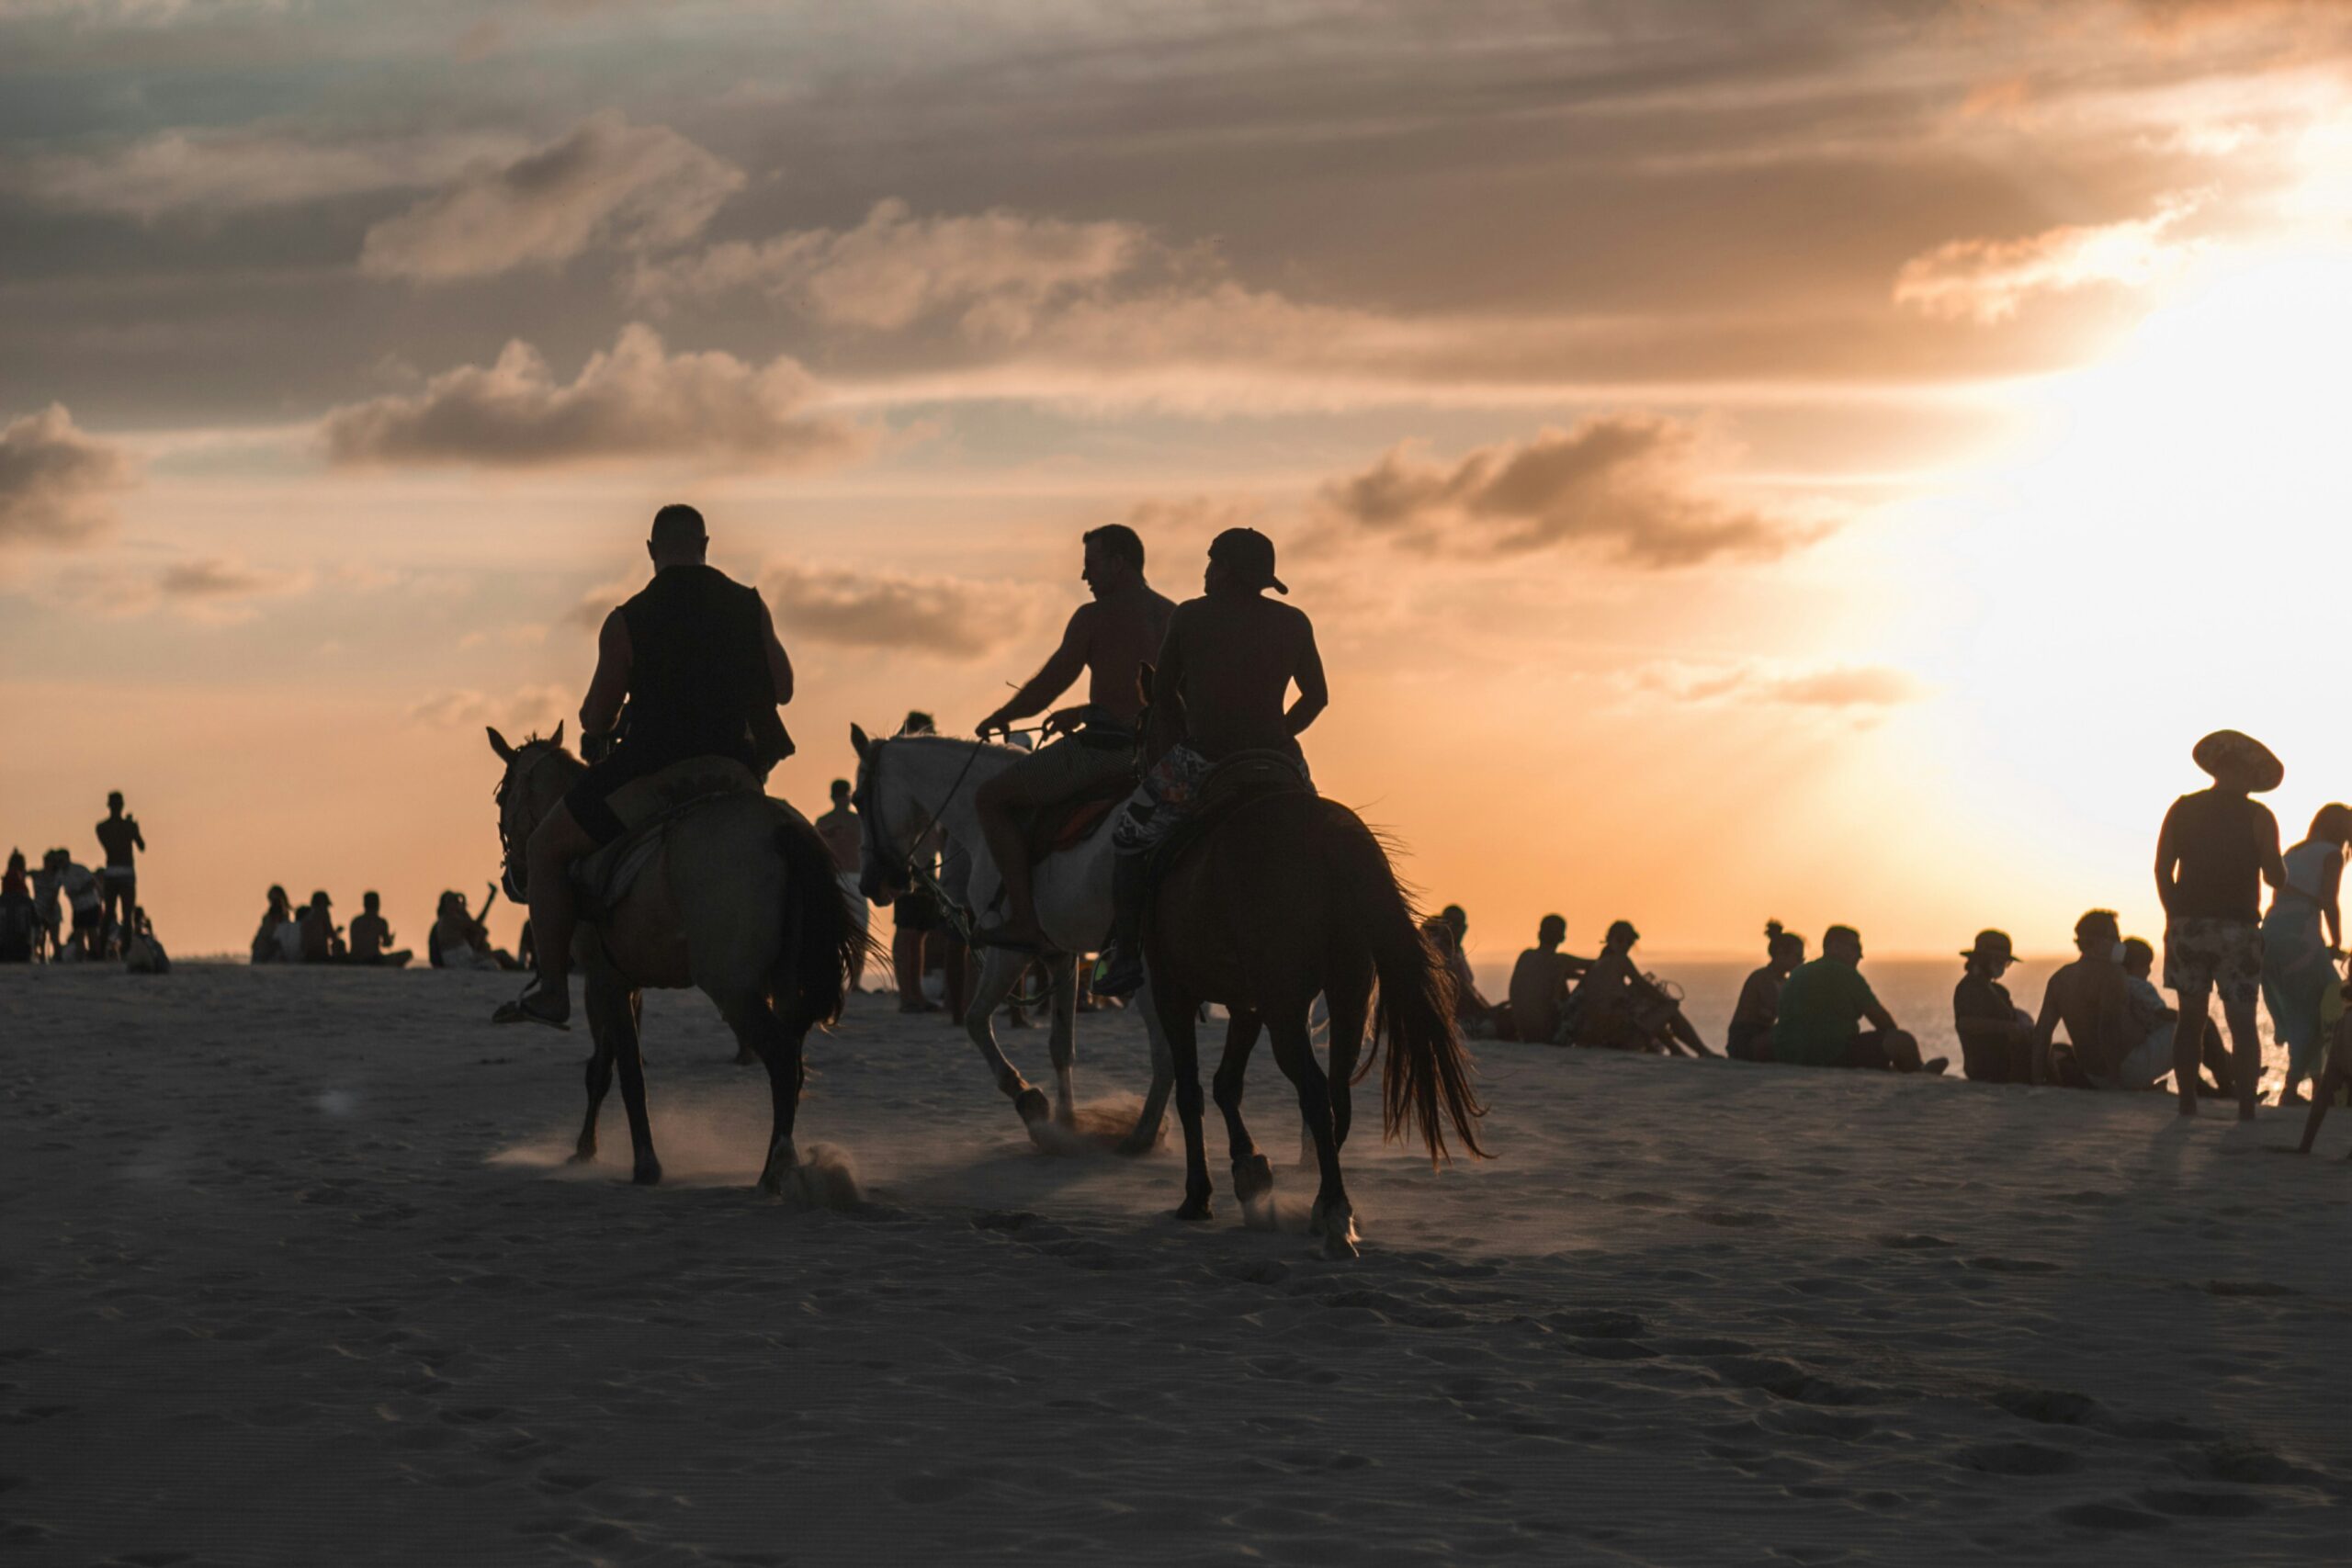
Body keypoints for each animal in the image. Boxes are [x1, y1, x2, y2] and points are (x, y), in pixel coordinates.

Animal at [486, 728, 865, 1194]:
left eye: (502, 796)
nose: (511, 878)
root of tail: (780, 831)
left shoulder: (603, 979)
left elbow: (626, 1073)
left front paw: (643, 1164)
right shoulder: (622, 982)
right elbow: (604, 1068)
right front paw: (585, 1149)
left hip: (731, 989)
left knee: (780, 1057)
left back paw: (774, 1169)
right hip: (786, 984)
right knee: (793, 1061)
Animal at [851, 728, 1170, 1152]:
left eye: (857, 800)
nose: (872, 884)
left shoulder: (1009, 951)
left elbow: (974, 1020)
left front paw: (1029, 1101)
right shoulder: (1058, 955)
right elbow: (1060, 1047)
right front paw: (1066, 1126)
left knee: (1166, 1051)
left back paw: (1142, 1136)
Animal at [1138, 724, 1486, 1259]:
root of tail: (1327, 835)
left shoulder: (1173, 989)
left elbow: (1193, 1089)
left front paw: (1200, 1194)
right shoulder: (1247, 1002)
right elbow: (1225, 1084)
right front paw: (1249, 1169)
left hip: (1284, 1006)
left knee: (1316, 1092)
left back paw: (1334, 1212)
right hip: (1345, 993)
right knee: (1336, 1093)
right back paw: (1328, 1203)